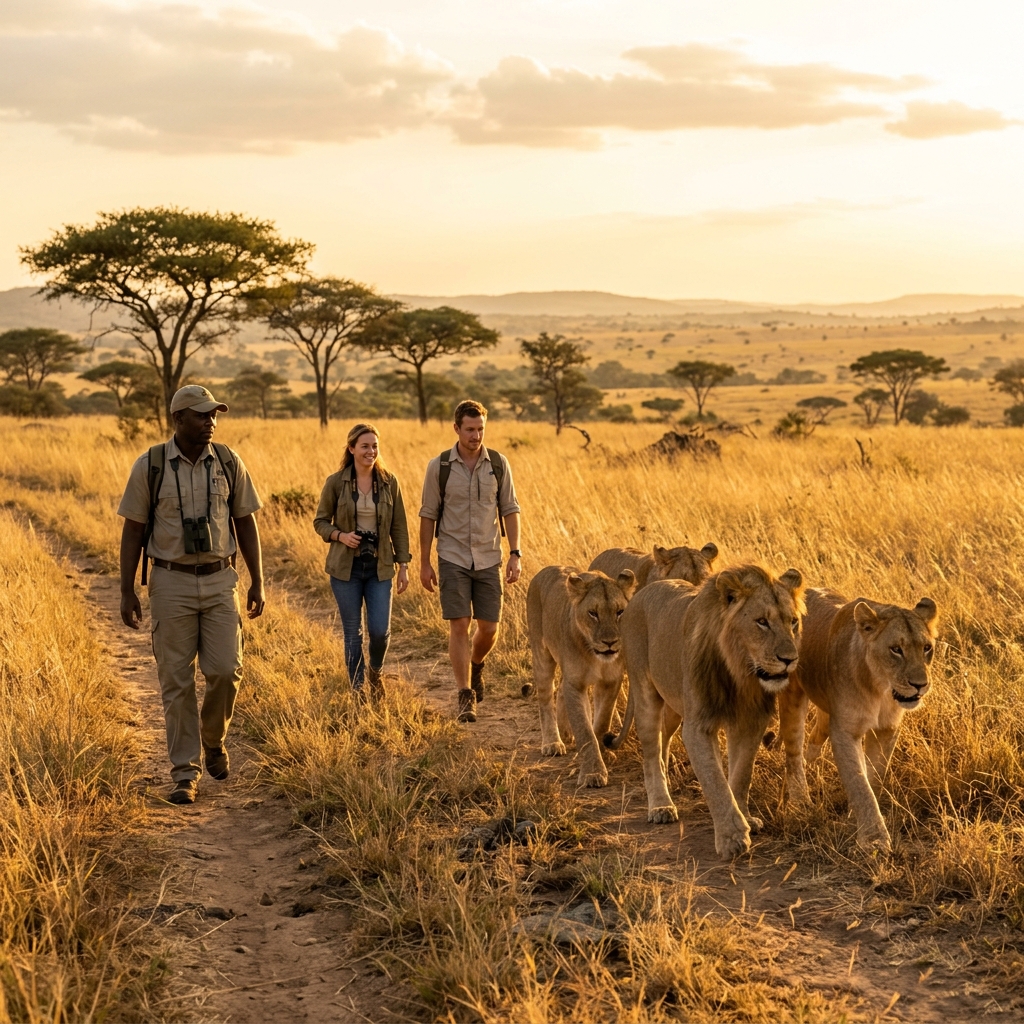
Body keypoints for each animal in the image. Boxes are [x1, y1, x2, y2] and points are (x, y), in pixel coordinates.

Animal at [525, 565, 637, 787]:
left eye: (620, 612)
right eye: (593, 613)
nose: (610, 642)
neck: (595, 655)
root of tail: (544, 571)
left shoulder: (610, 681)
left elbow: (601, 722)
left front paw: (603, 753)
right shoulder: (576, 684)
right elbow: (585, 730)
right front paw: (593, 772)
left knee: (560, 690)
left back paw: (566, 734)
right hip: (541, 654)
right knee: (545, 699)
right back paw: (553, 742)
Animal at [607, 565, 804, 859]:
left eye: (793, 622)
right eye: (761, 622)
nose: (790, 660)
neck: (741, 673)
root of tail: (639, 595)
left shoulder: (751, 721)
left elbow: (741, 774)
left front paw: (745, 818)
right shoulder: (698, 725)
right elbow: (715, 780)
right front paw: (732, 838)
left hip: (675, 705)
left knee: (664, 740)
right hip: (645, 693)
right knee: (651, 753)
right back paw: (661, 806)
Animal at [778, 588, 938, 852]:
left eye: (926, 648)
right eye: (896, 649)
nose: (920, 685)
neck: (881, 690)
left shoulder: (887, 730)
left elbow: (874, 776)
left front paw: (855, 819)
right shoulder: (845, 731)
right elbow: (859, 783)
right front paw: (874, 839)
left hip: (825, 713)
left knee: (813, 740)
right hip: (792, 696)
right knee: (793, 754)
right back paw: (800, 803)